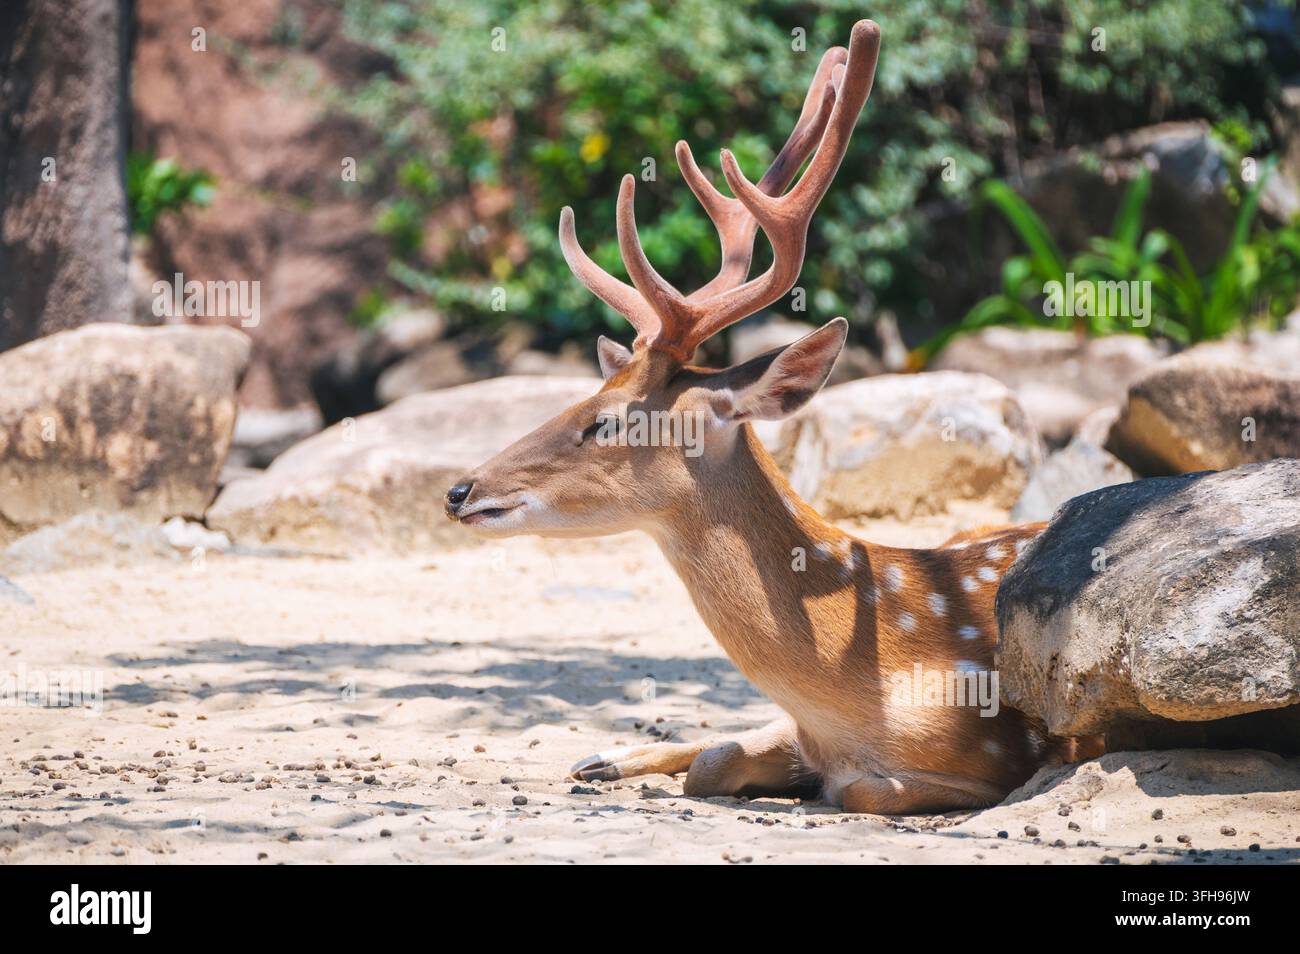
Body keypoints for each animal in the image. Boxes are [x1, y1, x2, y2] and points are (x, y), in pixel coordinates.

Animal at [444, 19, 1093, 814]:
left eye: (610, 421)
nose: (460, 490)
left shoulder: (1001, 752)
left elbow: (854, 789)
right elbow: (718, 757)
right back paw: (601, 757)